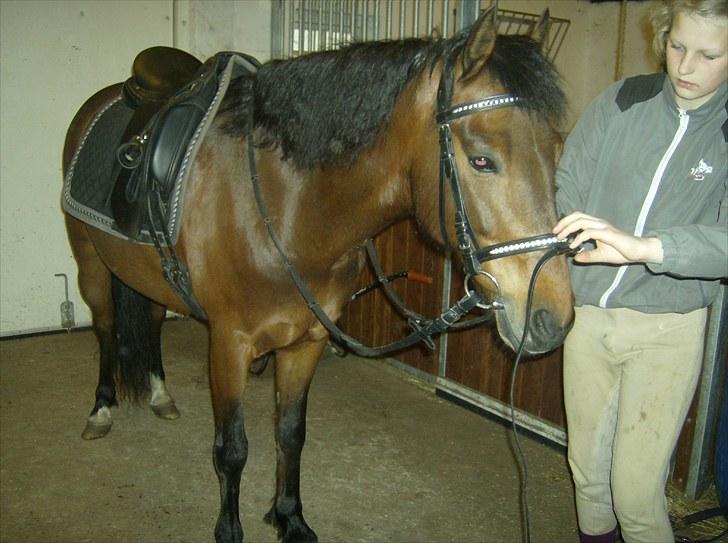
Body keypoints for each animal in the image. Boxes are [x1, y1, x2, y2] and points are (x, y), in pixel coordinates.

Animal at [62, 7, 573, 543]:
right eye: (481, 160)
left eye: (556, 152)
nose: (551, 318)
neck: (289, 209)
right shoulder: (229, 345)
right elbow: (232, 449)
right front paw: (231, 529)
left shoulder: (306, 341)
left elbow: (291, 433)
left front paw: (289, 517)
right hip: (91, 265)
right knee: (105, 328)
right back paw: (101, 408)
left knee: (153, 321)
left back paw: (160, 393)